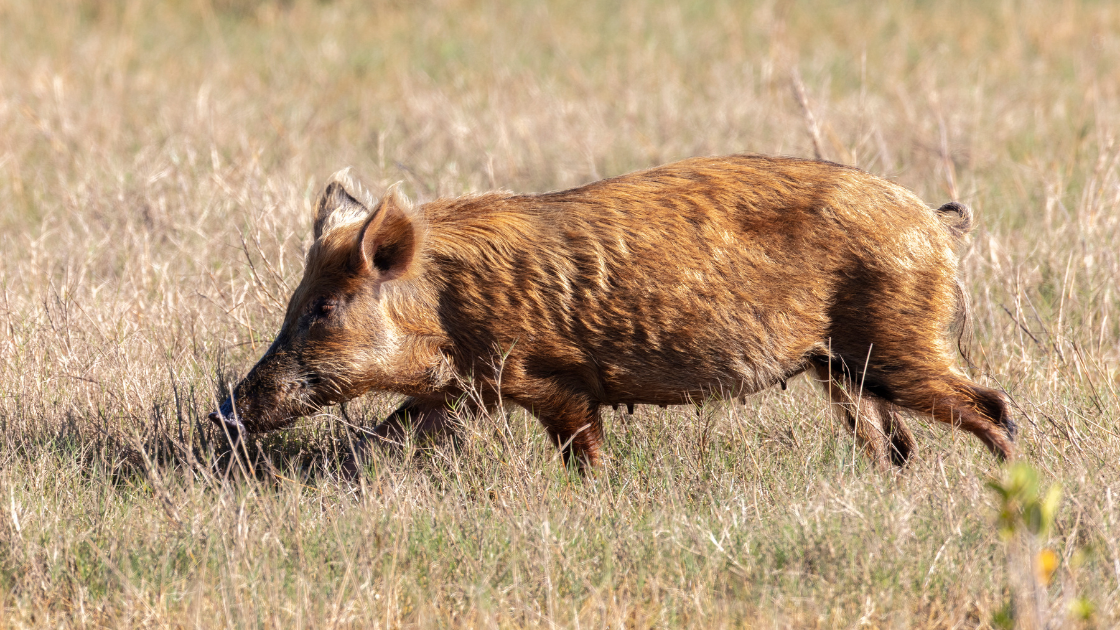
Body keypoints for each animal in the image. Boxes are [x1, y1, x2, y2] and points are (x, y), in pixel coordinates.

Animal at [209, 154, 1015, 471]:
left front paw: (596, 493)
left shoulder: (550, 379)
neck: (443, 308)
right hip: (841, 367)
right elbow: (390, 431)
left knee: (993, 405)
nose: (225, 414)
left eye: (324, 307)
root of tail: (935, 223)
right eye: (294, 303)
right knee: (895, 443)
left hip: (899, 339)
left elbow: (582, 449)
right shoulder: (466, 391)